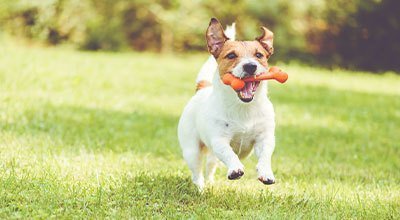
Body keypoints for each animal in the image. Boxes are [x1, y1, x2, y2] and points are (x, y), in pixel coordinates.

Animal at [177, 18, 276, 189]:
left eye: (259, 55)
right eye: (231, 55)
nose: (250, 66)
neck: (243, 108)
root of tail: (203, 88)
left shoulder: (265, 137)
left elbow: (265, 155)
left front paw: (266, 173)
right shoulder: (219, 139)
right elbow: (229, 153)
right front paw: (235, 169)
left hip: (211, 156)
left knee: (209, 167)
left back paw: (210, 183)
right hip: (192, 150)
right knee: (197, 173)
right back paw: (201, 189)